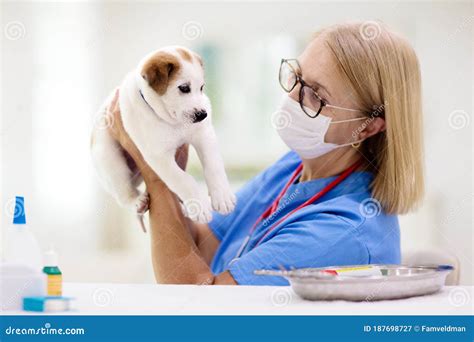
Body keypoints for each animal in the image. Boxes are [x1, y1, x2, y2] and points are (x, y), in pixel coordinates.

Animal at [90, 45, 235, 230]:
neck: (173, 122)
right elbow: (184, 179)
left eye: (201, 87)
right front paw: (199, 205)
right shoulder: (159, 157)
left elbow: (213, 166)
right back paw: (137, 201)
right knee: (123, 194)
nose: (203, 115)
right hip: (111, 163)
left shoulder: (204, 136)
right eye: (184, 88)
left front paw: (222, 195)